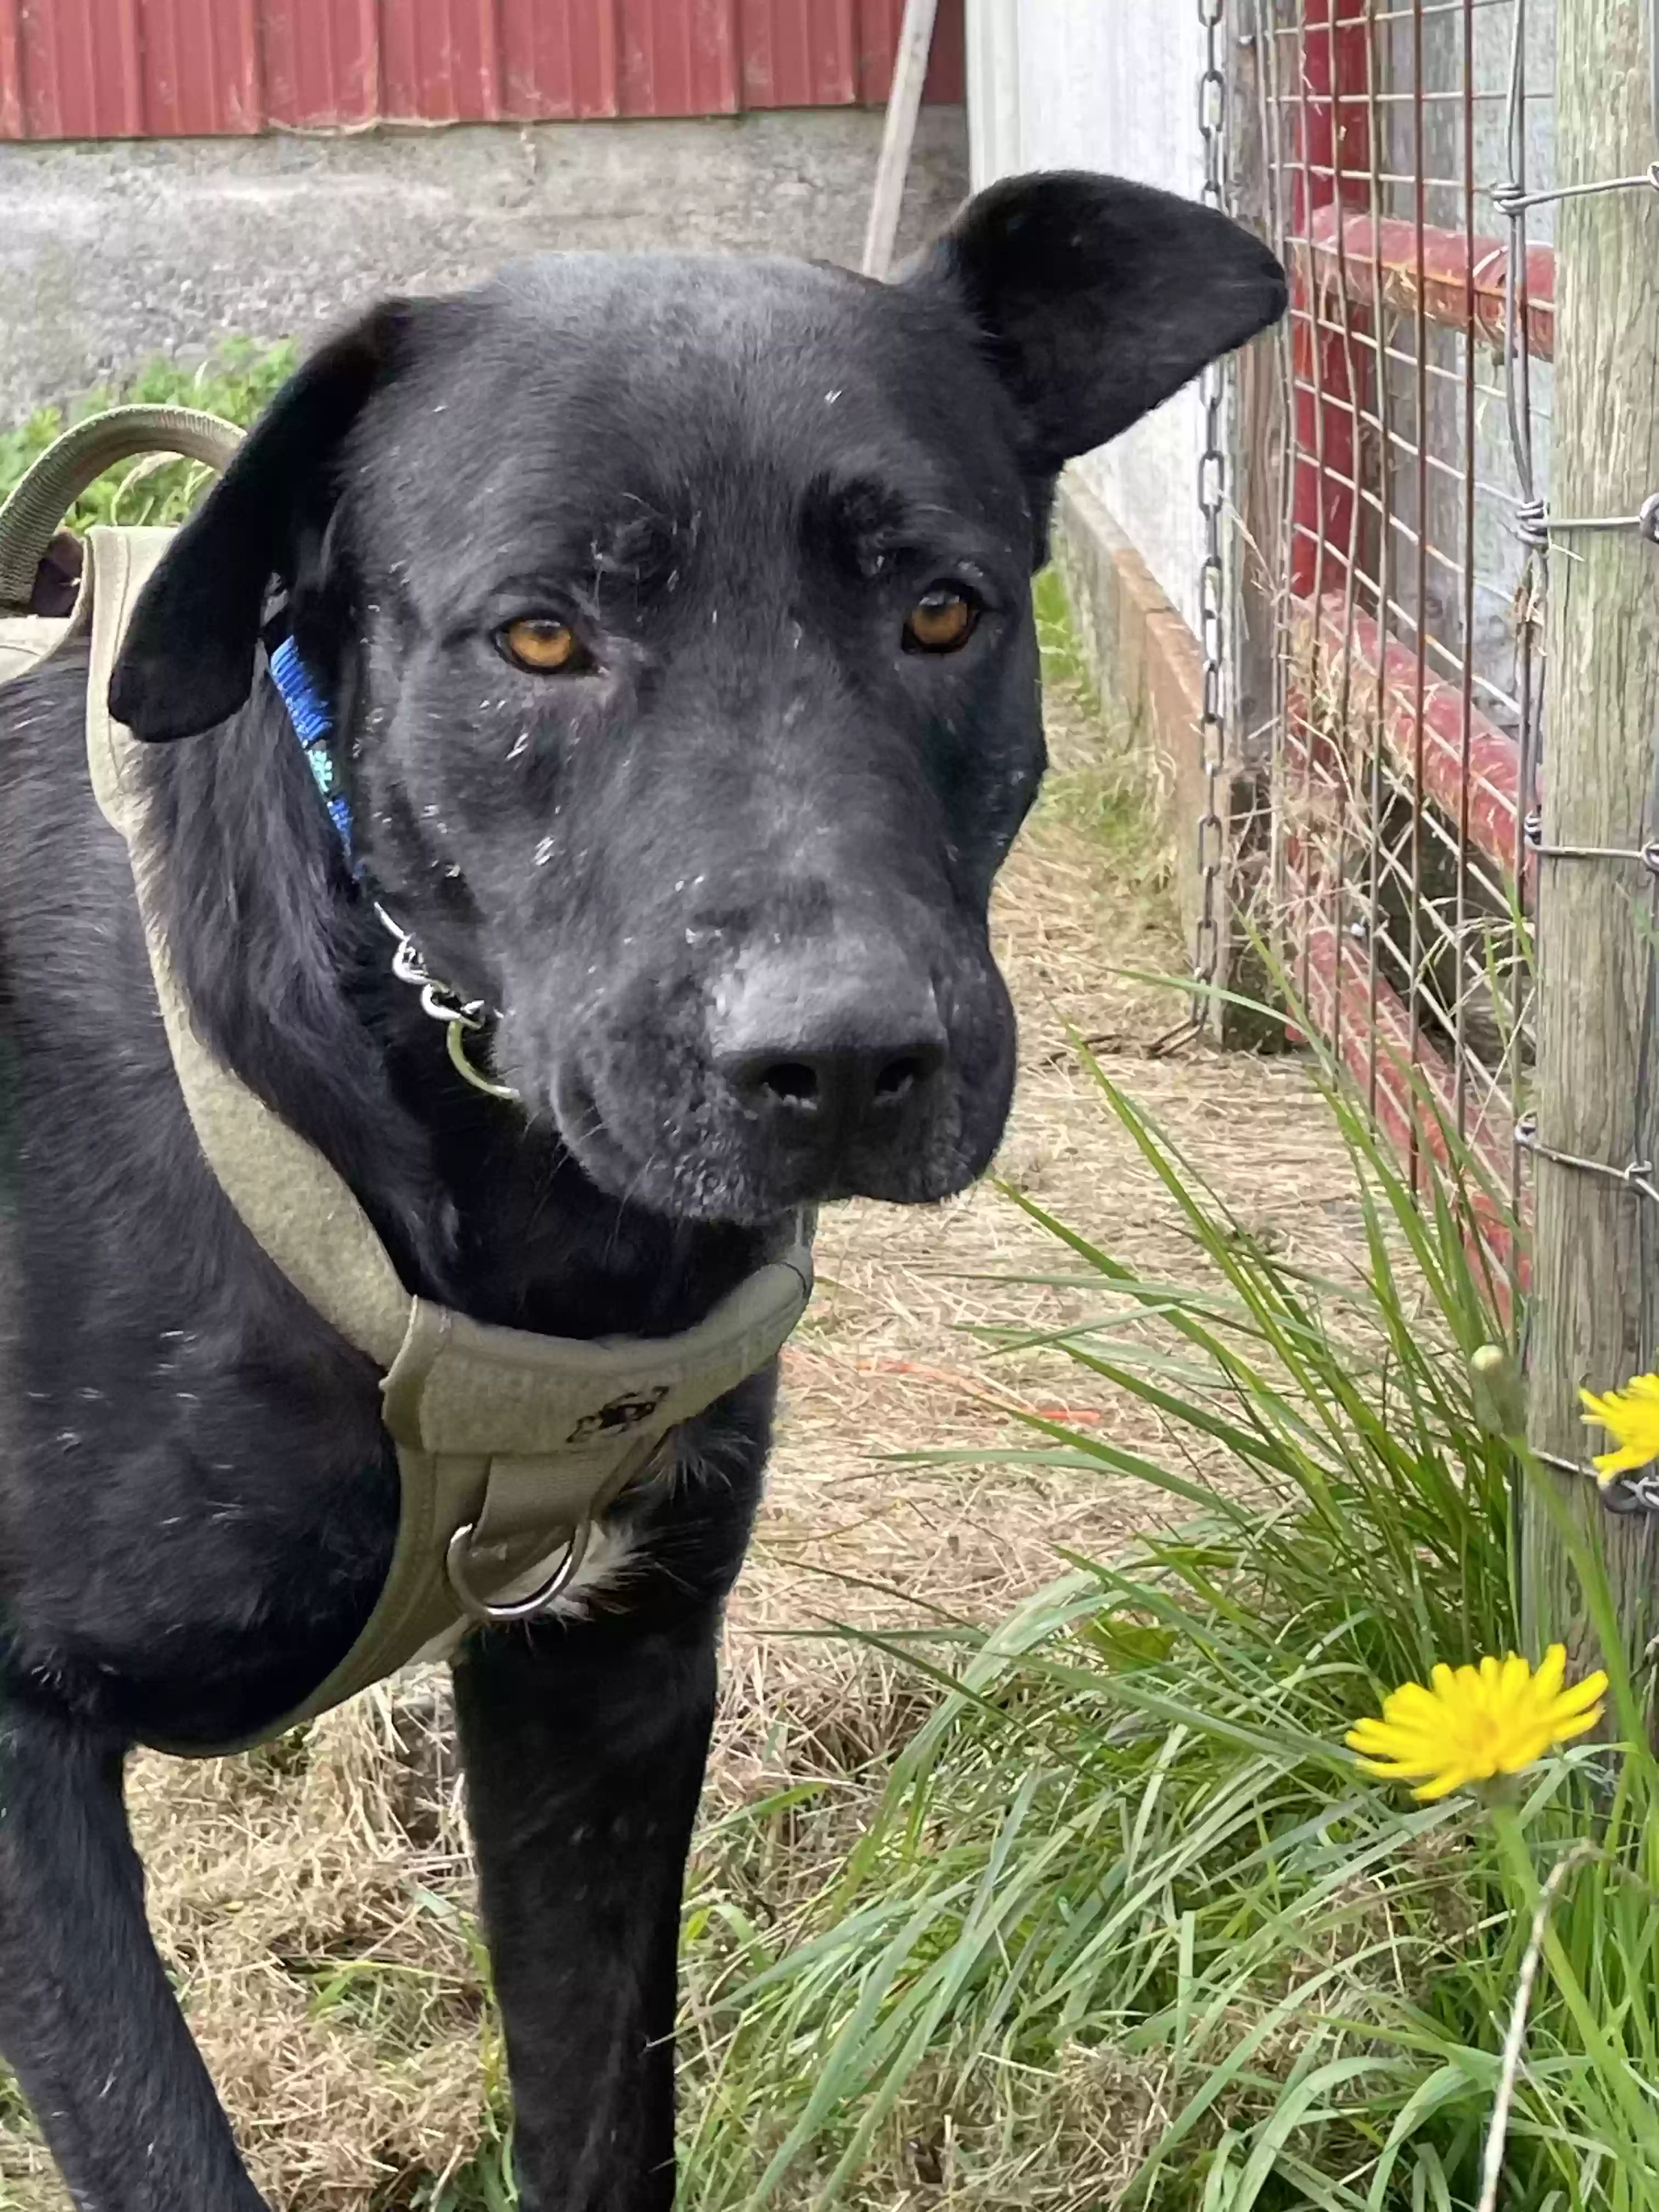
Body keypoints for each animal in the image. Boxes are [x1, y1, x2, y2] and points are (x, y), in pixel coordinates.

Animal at [0, 177, 1283, 2212]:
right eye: (539, 638)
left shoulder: (609, 1680)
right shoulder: (23, 1763)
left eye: (943, 609)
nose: (839, 1063)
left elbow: (604, 2113)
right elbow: (165, 2148)